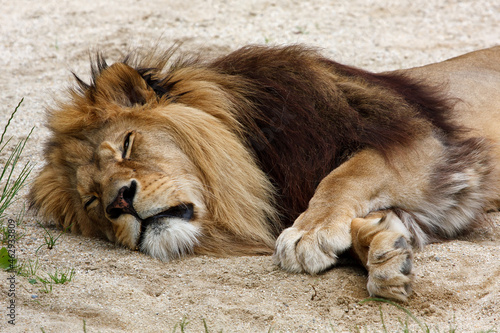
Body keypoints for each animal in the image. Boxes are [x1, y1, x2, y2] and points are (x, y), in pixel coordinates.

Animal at [29, 42, 500, 300]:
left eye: (128, 143)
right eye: (92, 201)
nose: (119, 202)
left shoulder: (423, 140)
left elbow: (344, 175)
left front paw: (309, 232)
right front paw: (386, 255)